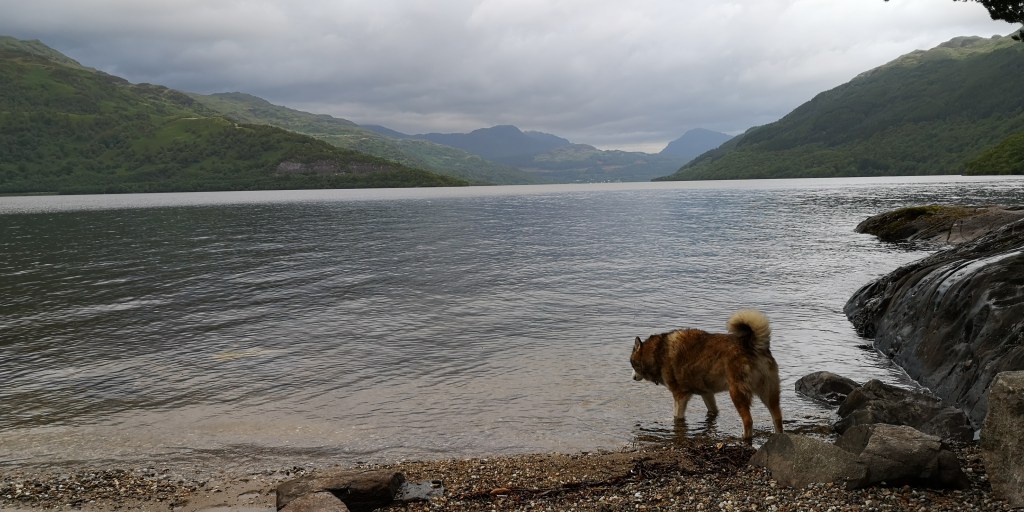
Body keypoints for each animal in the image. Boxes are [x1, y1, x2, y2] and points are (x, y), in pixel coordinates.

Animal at [630, 309, 783, 442]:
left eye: (632, 364)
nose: (632, 378)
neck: (658, 351)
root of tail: (753, 345)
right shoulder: (707, 393)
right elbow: (713, 410)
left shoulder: (680, 395)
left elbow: (676, 416)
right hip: (769, 393)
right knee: (777, 418)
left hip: (737, 393)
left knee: (748, 421)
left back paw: (744, 438)